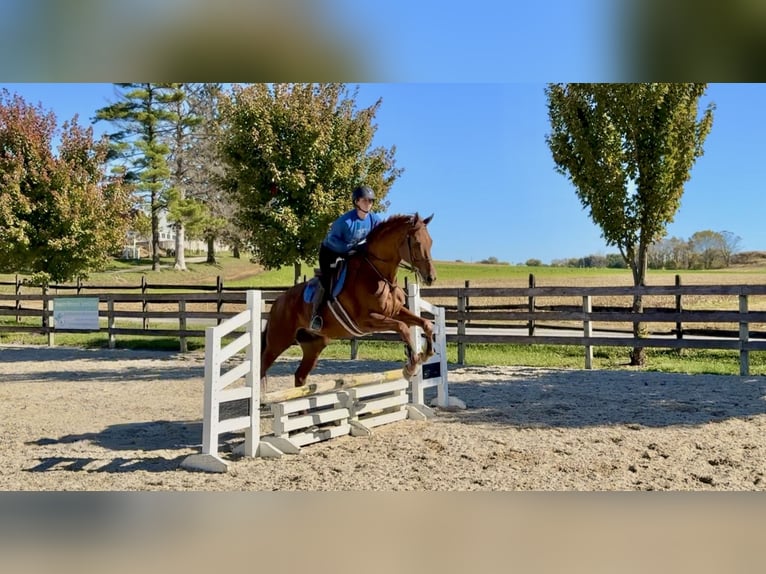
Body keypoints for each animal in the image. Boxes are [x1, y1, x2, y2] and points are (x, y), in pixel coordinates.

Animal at [260, 213, 437, 392]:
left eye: (431, 242)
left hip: (314, 344)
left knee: (300, 376)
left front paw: (426, 353)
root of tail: (278, 301)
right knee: (262, 365)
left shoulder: (395, 312)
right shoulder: (366, 321)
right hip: (279, 340)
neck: (378, 275)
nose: (431, 278)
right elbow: (402, 328)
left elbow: (426, 323)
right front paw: (411, 366)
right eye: (417, 243)